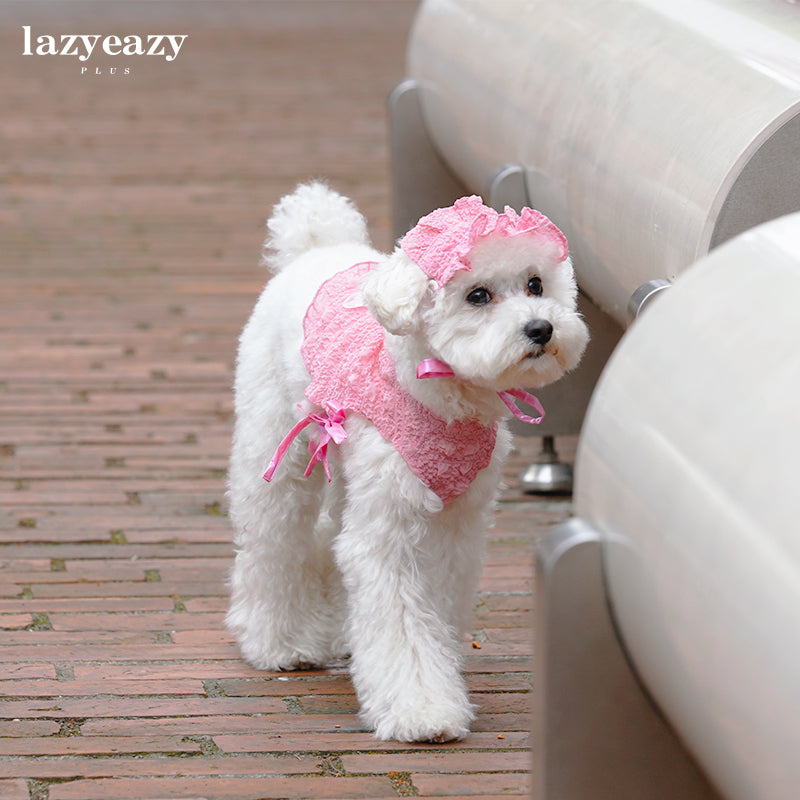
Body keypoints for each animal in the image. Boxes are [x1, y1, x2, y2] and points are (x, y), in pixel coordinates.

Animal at [225, 183, 588, 744]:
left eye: (535, 283)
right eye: (477, 295)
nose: (541, 328)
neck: (443, 397)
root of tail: (318, 245)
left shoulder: (456, 526)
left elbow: (432, 610)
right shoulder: (389, 530)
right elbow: (401, 622)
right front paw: (422, 711)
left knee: (325, 536)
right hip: (278, 452)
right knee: (274, 540)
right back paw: (279, 641)